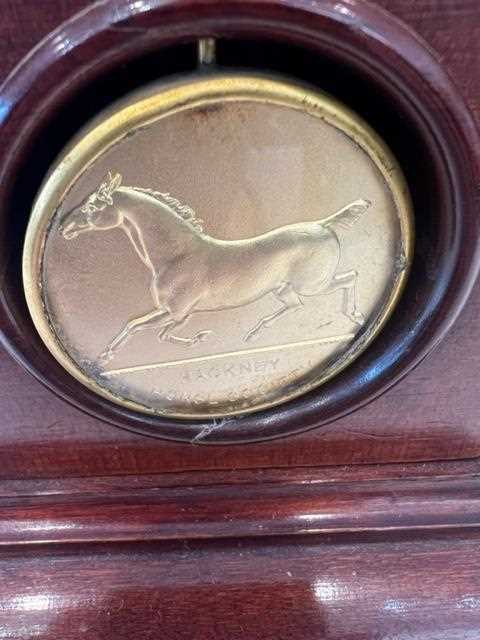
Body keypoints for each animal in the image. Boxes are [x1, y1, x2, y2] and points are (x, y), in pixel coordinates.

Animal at [60, 170, 370, 362]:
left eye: (92, 207)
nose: (64, 227)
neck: (176, 255)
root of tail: (323, 224)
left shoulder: (177, 313)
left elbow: (139, 326)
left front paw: (106, 355)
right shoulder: (174, 314)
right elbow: (151, 331)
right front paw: (198, 339)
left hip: (312, 285)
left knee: (351, 276)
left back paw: (354, 315)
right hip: (284, 290)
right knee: (298, 305)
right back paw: (254, 333)